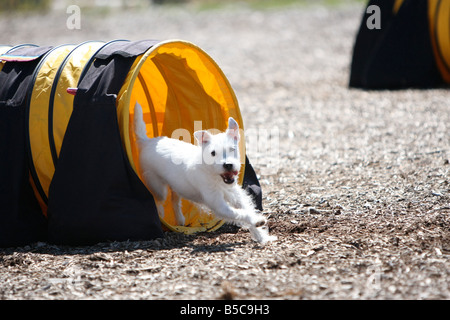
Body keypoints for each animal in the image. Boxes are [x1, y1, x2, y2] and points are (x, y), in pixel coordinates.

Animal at [132, 103, 276, 245]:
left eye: (232, 149)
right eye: (213, 153)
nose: (228, 165)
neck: (215, 176)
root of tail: (146, 141)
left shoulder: (236, 196)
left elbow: (247, 209)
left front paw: (262, 237)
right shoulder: (218, 204)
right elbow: (240, 213)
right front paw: (257, 221)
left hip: (176, 184)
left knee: (174, 198)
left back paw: (180, 219)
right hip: (158, 186)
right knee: (158, 199)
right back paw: (161, 214)